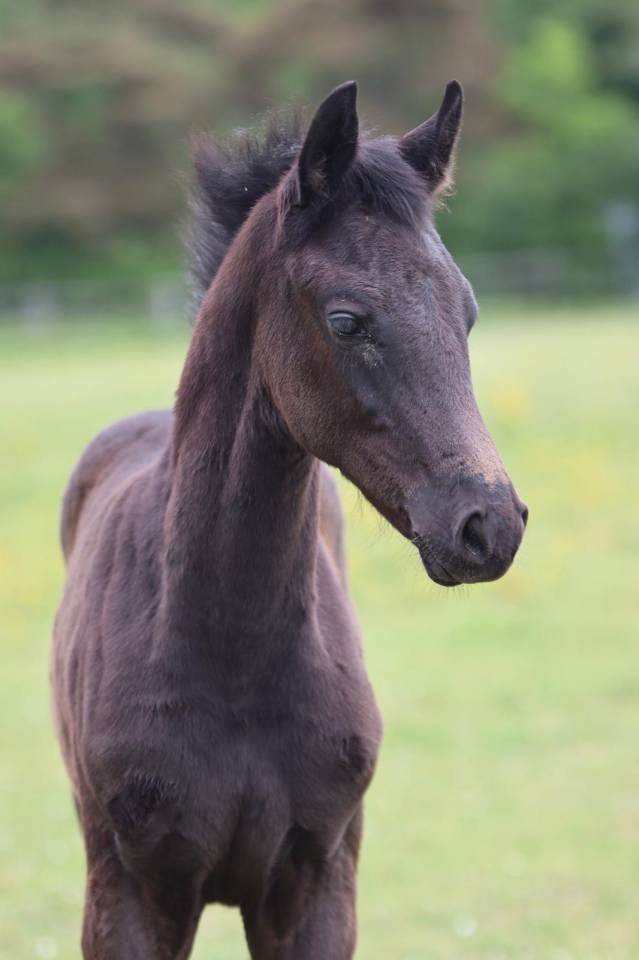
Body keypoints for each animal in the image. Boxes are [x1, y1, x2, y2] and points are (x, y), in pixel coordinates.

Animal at [52, 80, 527, 959]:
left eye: (468, 311)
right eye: (345, 320)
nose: (489, 526)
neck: (228, 649)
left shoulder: (315, 889)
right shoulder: (129, 896)